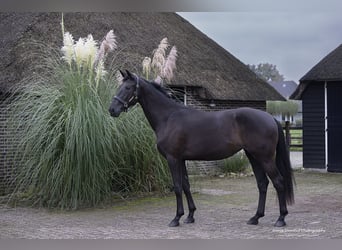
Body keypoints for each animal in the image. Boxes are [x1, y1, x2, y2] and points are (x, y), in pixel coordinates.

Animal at [109, 69, 294, 228]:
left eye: (127, 88)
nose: (112, 110)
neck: (169, 117)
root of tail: (270, 118)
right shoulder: (181, 159)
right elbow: (186, 185)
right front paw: (190, 216)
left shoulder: (172, 158)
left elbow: (177, 186)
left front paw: (176, 218)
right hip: (253, 156)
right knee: (262, 184)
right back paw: (255, 218)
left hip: (265, 158)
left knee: (278, 182)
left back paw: (281, 218)